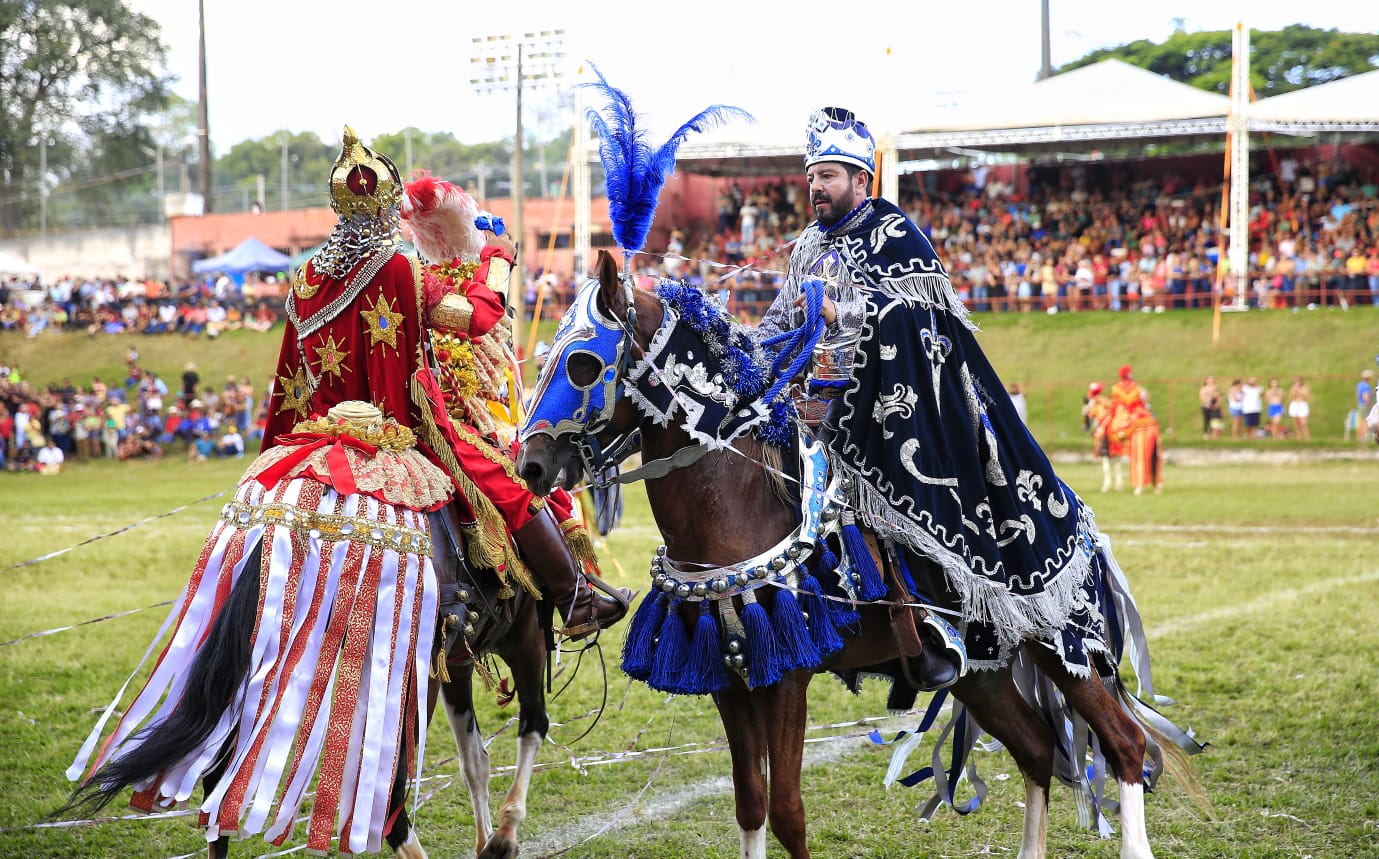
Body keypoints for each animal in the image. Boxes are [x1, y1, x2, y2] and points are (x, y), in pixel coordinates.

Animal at [59, 496, 554, 859]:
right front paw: (504, 836)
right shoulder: (520, 640)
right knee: (390, 797)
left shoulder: (457, 665)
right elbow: (531, 727)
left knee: (217, 779)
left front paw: (490, 839)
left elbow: (475, 762)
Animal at [512, 252, 1202, 859]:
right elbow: (751, 804)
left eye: (581, 364)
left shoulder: (786, 679)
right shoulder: (729, 681)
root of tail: (1083, 523)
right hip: (983, 670)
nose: (531, 465)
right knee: (1036, 752)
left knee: (1125, 747)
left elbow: (788, 811)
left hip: (1064, 650)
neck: (736, 507)